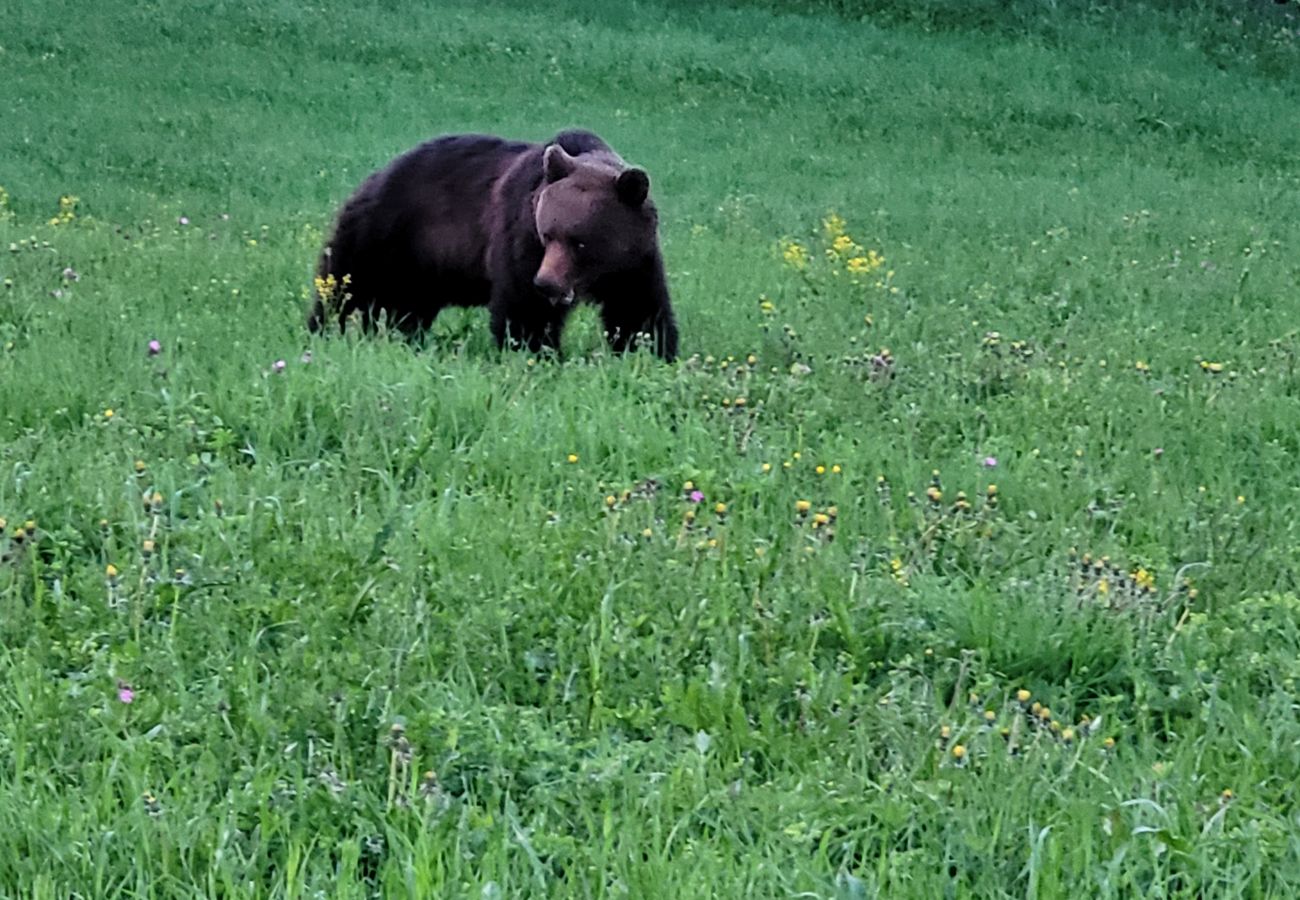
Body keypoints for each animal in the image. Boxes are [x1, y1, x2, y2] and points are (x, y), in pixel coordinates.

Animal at [308, 129, 681, 358]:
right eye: (548, 234)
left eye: (581, 243)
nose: (547, 283)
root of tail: (374, 176)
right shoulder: (520, 239)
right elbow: (524, 310)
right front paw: (539, 352)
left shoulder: (634, 264)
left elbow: (638, 312)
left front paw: (650, 352)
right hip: (383, 236)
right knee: (343, 287)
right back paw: (323, 331)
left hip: (419, 270)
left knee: (406, 310)